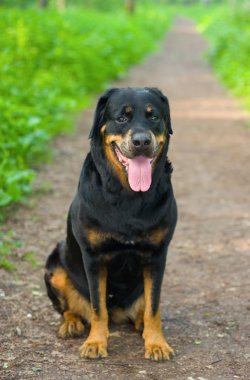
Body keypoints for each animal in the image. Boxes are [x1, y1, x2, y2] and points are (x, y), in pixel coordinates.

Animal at [45, 87, 178, 360]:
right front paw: (96, 342)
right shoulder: (93, 257)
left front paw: (156, 343)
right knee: (70, 308)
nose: (142, 141)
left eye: (154, 117)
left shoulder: (157, 255)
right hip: (54, 264)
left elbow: (154, 306)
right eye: (121, 118)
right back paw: (71, 323)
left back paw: (141, 324)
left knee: (144, 308)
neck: (128, 195)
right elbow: (98, 306)